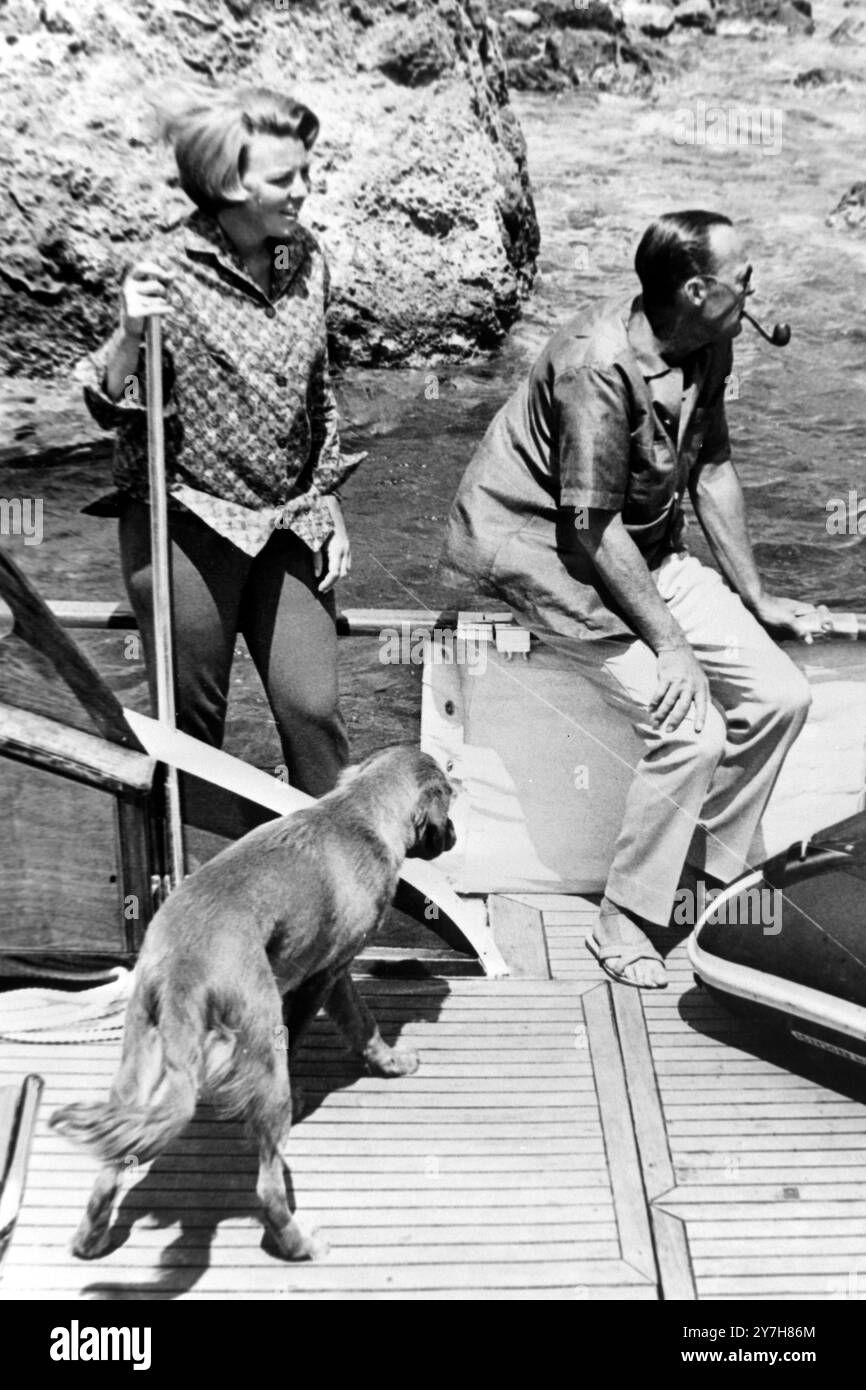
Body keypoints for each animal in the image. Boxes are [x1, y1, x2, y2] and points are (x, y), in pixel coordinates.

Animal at [50, 750, 458, 1262]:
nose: (455, 836)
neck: (358, 811)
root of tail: (184, 965)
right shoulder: (329, 970)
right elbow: (354, 1024)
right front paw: (387, 1062)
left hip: (136, 1062)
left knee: (111, 1162)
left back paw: (89, 1240)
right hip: (261, 1045)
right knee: (267, 1188)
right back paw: (300, 1243)